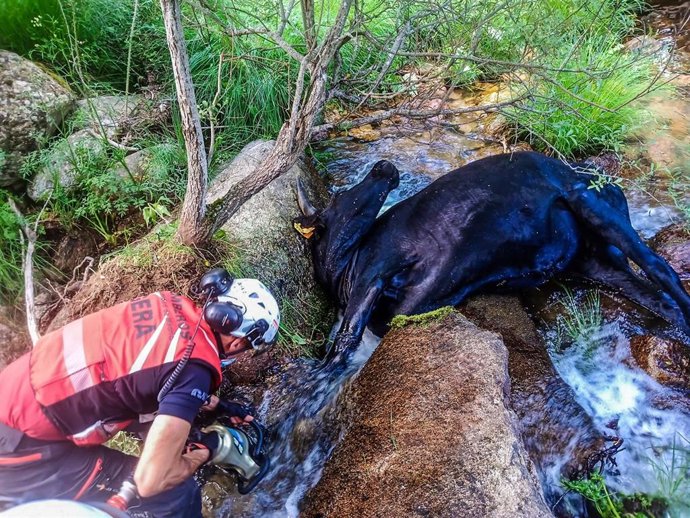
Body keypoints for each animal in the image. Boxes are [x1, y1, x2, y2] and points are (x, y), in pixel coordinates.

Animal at [293, 151, 690, 364]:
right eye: (342, 194)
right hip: (598, 262)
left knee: (663, 270)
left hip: (587, 201)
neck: (346, 267)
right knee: (659, 300)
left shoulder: (374, 271)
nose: (383, 166)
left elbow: (347, 338)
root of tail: (608, 181)